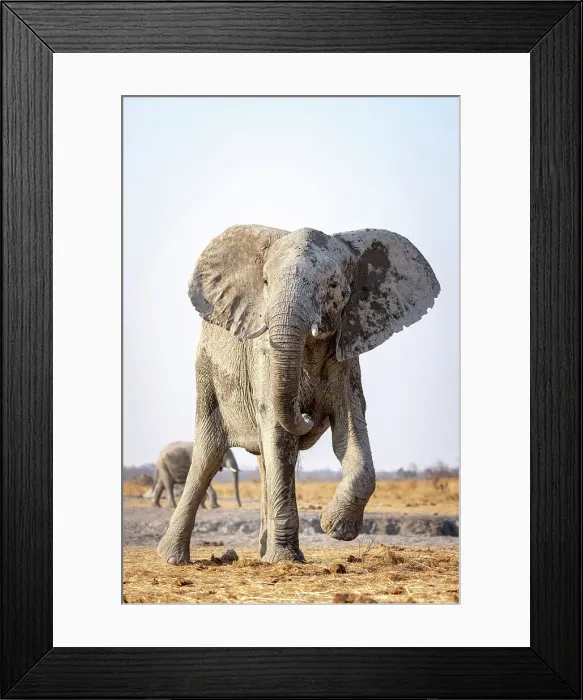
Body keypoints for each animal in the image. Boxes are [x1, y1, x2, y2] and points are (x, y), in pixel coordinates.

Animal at [157, 225, 440, 565]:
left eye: (333, 285)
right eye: (266, 283)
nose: (306, 413)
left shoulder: (346, 356)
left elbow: (349, 432)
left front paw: (334, 527)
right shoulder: (264, 356)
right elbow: (280, 435)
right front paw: (285, 560)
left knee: (264, 461)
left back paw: (261, 552)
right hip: (206, 370)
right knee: (209, 454)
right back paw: (173, 558)